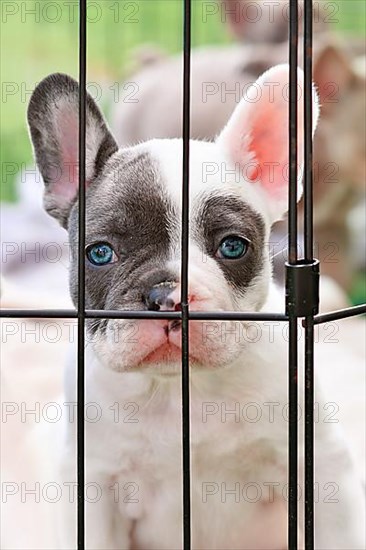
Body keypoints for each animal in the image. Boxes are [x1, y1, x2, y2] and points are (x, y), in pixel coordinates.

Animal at [27, 66, 364, 550]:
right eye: (100, 253)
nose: (167, 295)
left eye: (232, 246)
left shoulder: (319, 468)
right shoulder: (93, 488)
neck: (178, 390)